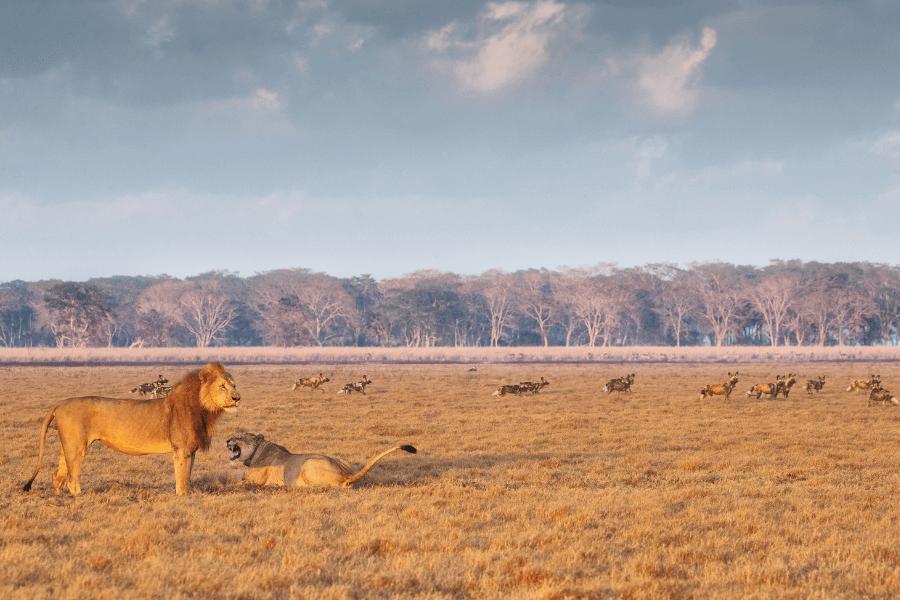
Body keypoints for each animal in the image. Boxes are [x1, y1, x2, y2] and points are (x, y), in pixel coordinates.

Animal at [23, 362, 240, 496]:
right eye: (222, 386)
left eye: (234, 385)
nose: (237, 398)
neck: (203, 408)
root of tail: (59, 403)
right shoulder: (182, 450)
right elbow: (182, 478)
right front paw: (183, 497)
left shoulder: (190, 450)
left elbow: (187, 475)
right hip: (77, 446)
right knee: (72, 478)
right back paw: (79, 496)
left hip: (67, 444)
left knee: (57, 475)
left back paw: (59, 496)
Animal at [226, 432, 416, 488]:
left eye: (240, 437)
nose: (227, 440)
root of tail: (345, 474)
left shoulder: (254, 481)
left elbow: (234, 483)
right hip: (343, 459)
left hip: (307, 464)